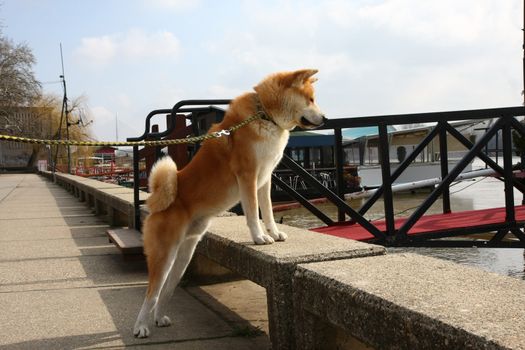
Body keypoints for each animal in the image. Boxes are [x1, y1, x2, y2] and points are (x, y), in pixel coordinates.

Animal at [133, 67, 326, 336]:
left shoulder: (265, 179)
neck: (265, 115)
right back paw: (141, 326)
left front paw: (275, 233)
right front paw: (259, 237)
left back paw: (159, 317)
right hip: (163, 254)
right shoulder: (248, 175)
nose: (325, 118)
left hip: (183, 255)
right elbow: (253, 213)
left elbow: (267, 211)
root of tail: (158, 202)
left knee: (165, 291)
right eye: (310, 99)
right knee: (151, 292)